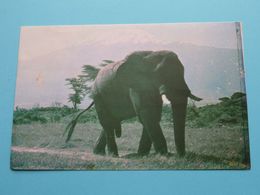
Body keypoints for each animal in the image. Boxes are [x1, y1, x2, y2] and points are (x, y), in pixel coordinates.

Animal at [64, 50, 202, 157]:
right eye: (163, 73)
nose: (182, 156)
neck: (151, 55)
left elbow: (153, 114)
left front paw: (142, 155)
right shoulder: (136, 85)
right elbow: (147, 113)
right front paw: (163, 155)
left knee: (110, 122)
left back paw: (99, 153)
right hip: (98, 95)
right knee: (107, 122)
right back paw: (113, 155)